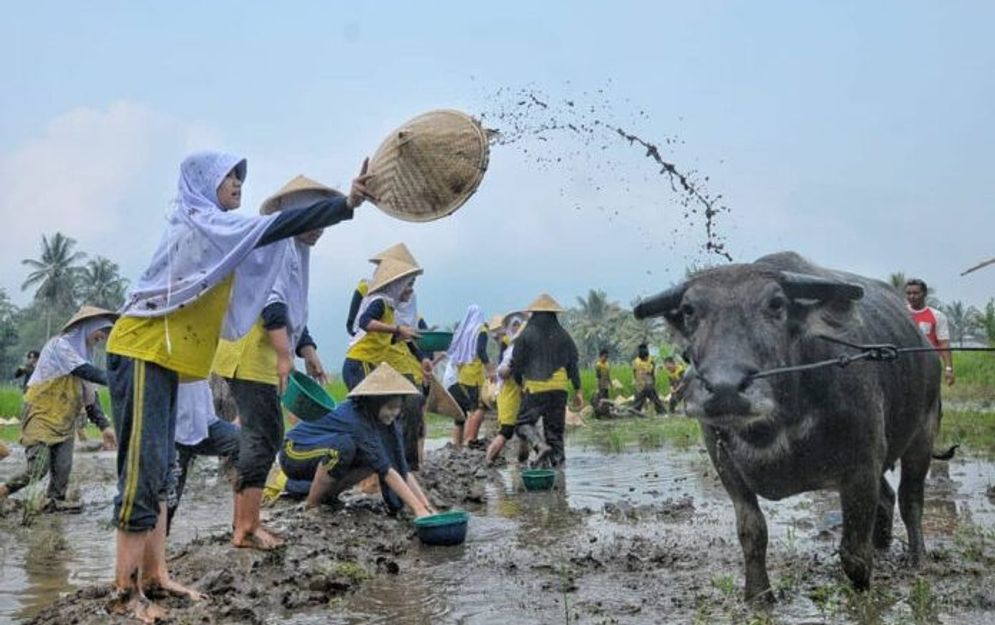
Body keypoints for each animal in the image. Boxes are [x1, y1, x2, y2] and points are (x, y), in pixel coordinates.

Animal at [640, 250, 940, 600]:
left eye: (776, 304)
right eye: (689, 309)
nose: (726, 389)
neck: (774, 424)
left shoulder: (862, 464)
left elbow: (854, 553)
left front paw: (861, 595)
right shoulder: (725, 463)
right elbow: (752, 533)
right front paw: (758, 597)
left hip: (924, 433)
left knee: (910, 499)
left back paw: (917, 559)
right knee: (887, 498)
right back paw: (883, 547)